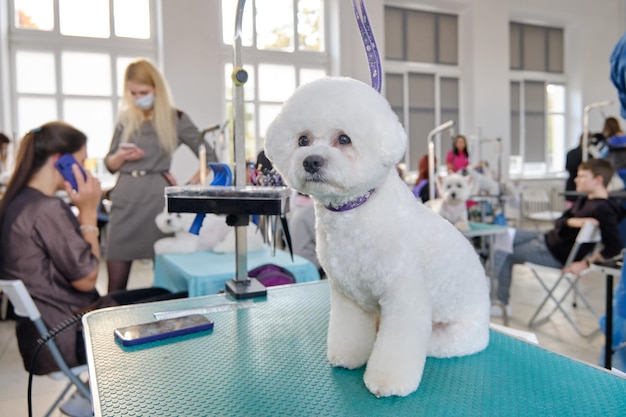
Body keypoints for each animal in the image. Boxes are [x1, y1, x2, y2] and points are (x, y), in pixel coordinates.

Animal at [264, 76, 488, 398]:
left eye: (344, 139)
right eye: (303, 140)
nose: (312, 161)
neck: (354, 212)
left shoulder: (404, 297)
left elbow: (396, 347)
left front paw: (386, 381)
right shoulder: (348, 296)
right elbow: (349, 332)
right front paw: (347, 357)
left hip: (450, 336)